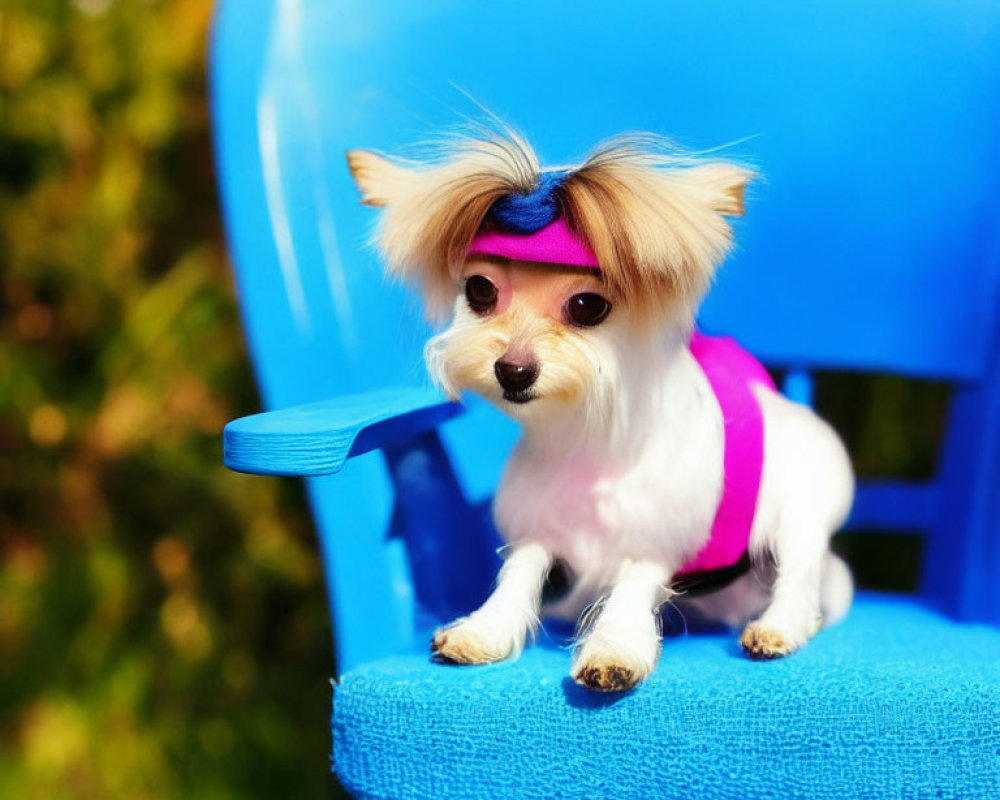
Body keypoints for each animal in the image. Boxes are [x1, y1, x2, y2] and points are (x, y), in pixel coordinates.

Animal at [348, 128, 856, 692]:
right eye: (479, 290)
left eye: (588, 306)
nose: (513, 370)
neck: (584, 437)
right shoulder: (542, 529)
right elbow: (517, 575)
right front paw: (484, 630)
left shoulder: (651, 542)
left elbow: (630, 591)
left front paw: (615, 651)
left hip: (800, 517)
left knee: (799, 574)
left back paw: (779, 627)